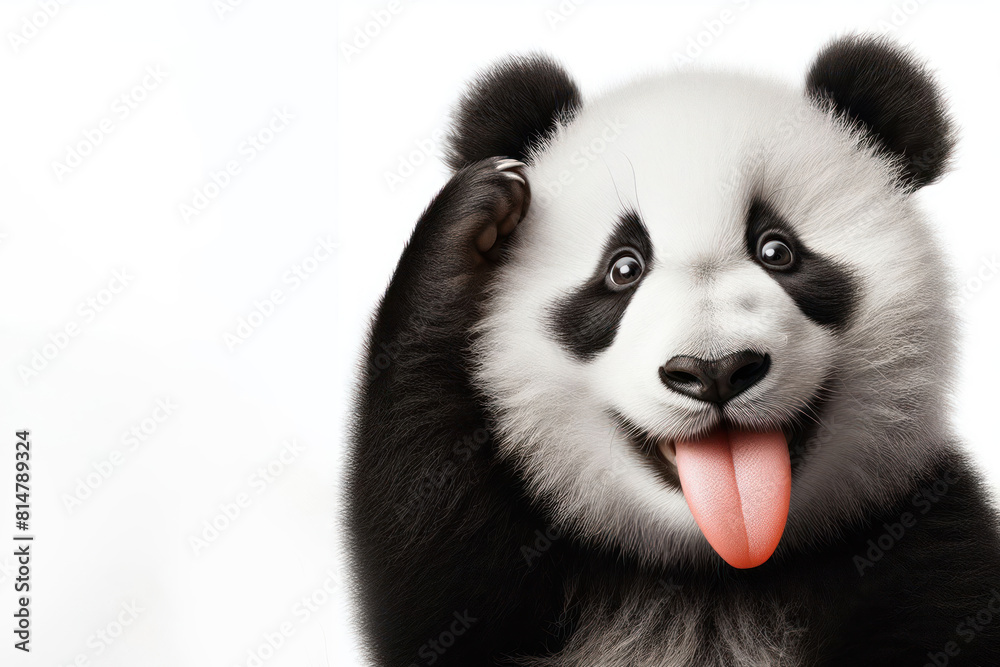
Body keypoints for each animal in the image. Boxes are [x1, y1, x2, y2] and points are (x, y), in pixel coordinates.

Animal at [345, 35, 1000, 665]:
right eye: (623, 269)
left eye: (777, 251)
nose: (715, 371)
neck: (719, 568)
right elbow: (426, 556)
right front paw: (473, 217)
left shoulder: (927, 540)